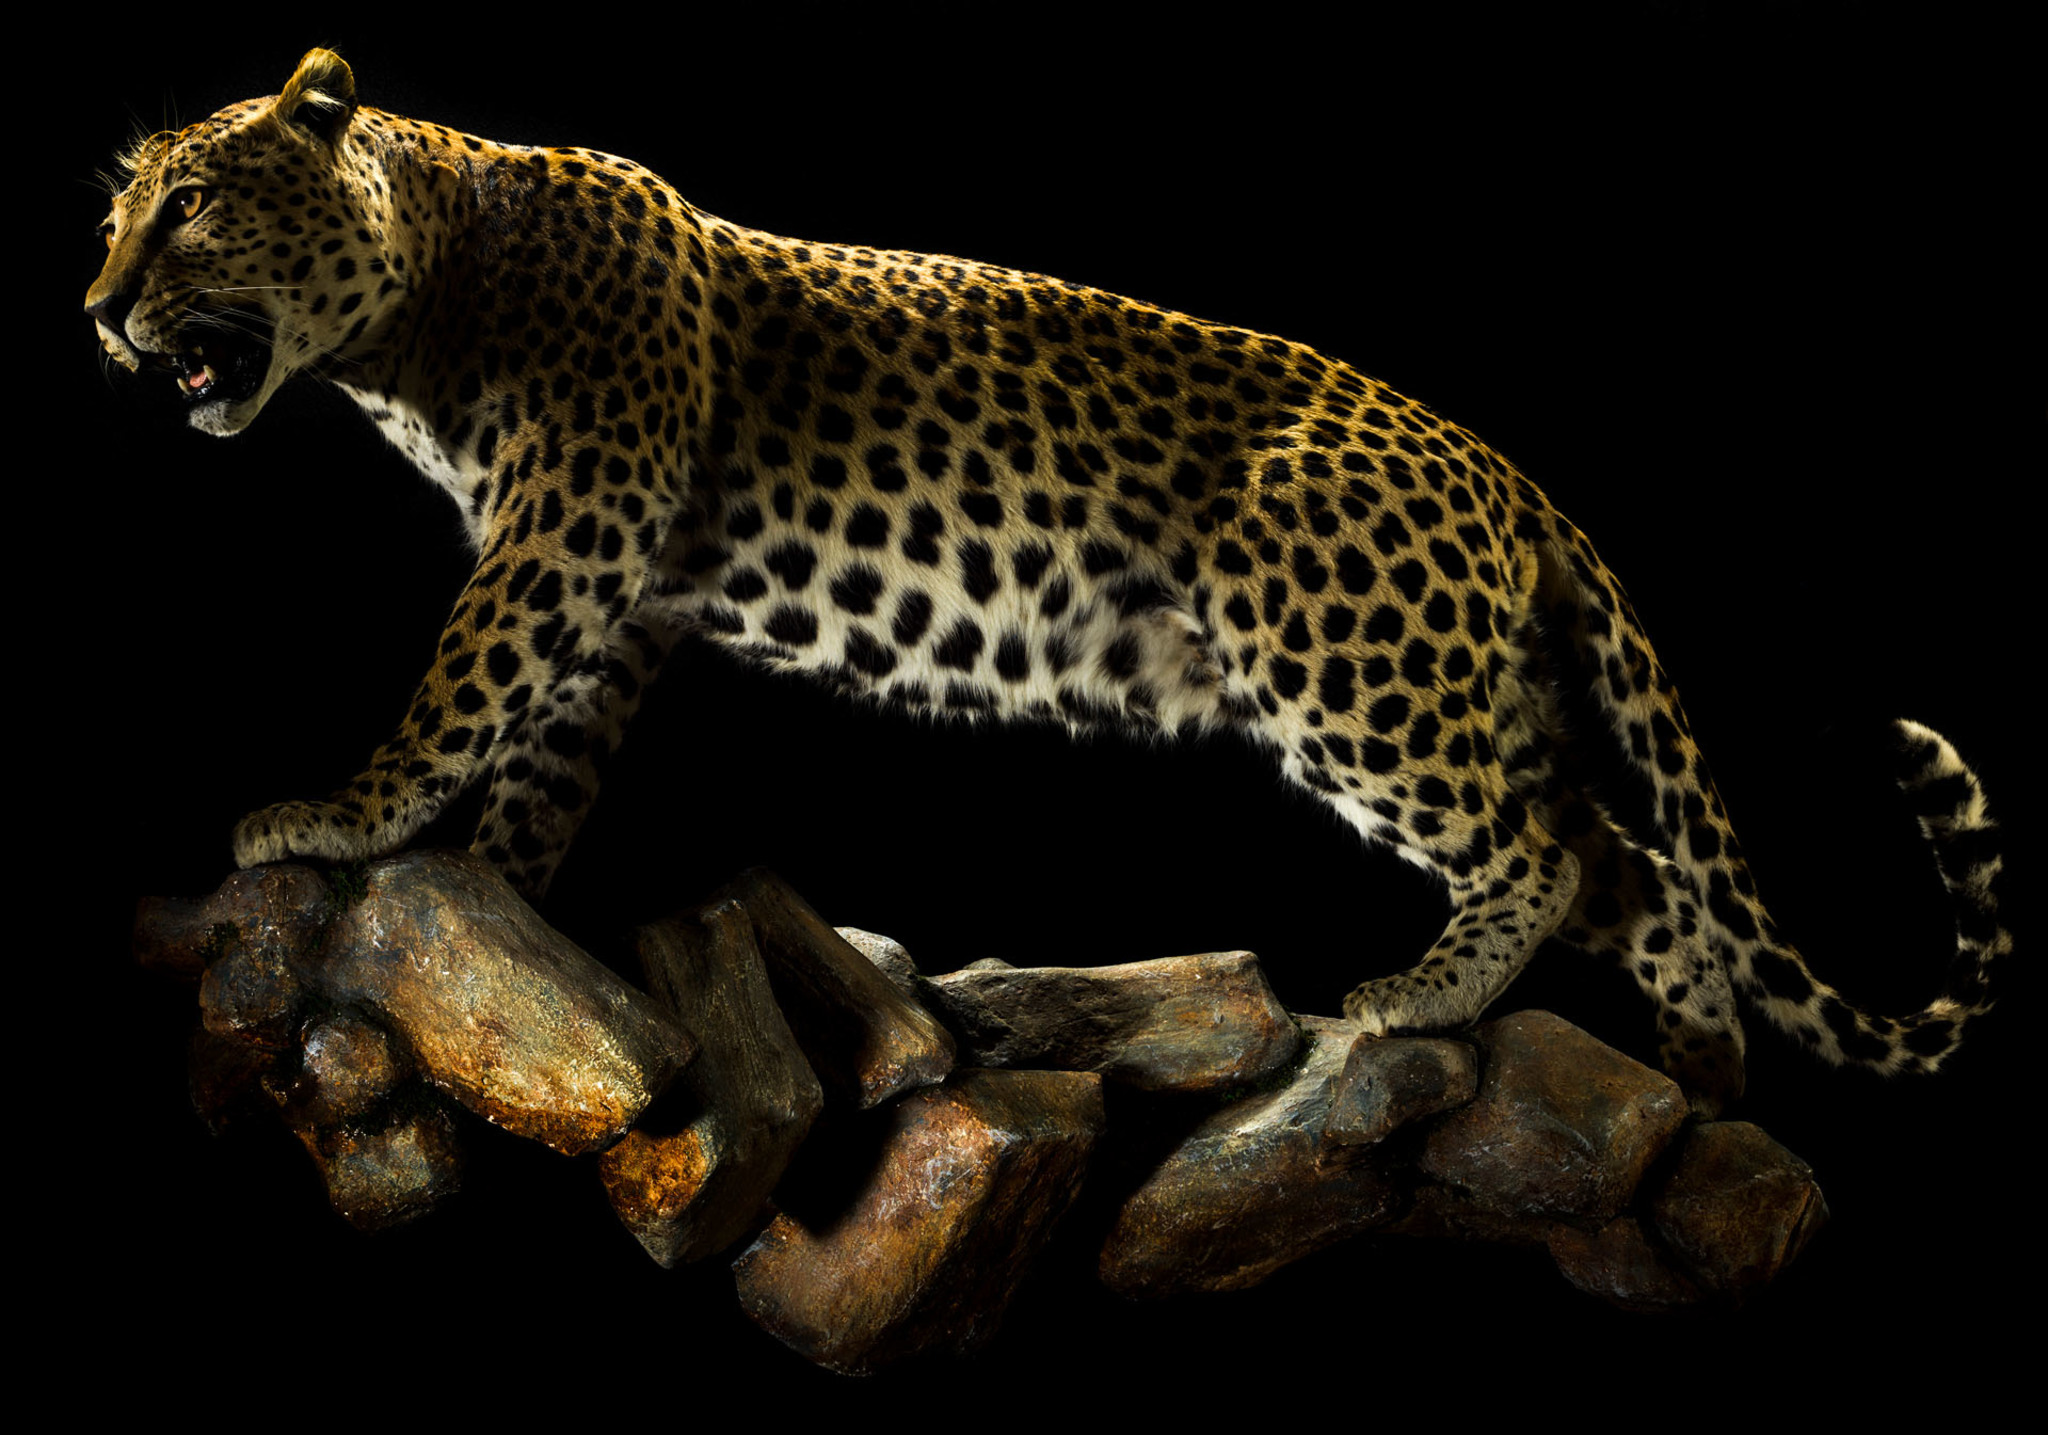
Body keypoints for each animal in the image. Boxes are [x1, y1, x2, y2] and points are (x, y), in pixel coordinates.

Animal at [88, 49, 2007, 1115]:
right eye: (115, 217)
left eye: (186, 211)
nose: (97, 311)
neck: (426, 298)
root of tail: (1516, 479)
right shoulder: (619, 596)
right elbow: (540, 760)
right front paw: (497, 913)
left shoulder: (571, 523)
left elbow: (457, 682)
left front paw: (335, 816)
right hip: (1464, 681)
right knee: (1639, 868)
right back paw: (1703, 1078)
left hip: (1339, 657)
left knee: (1540, 847)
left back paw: (1418, 998)